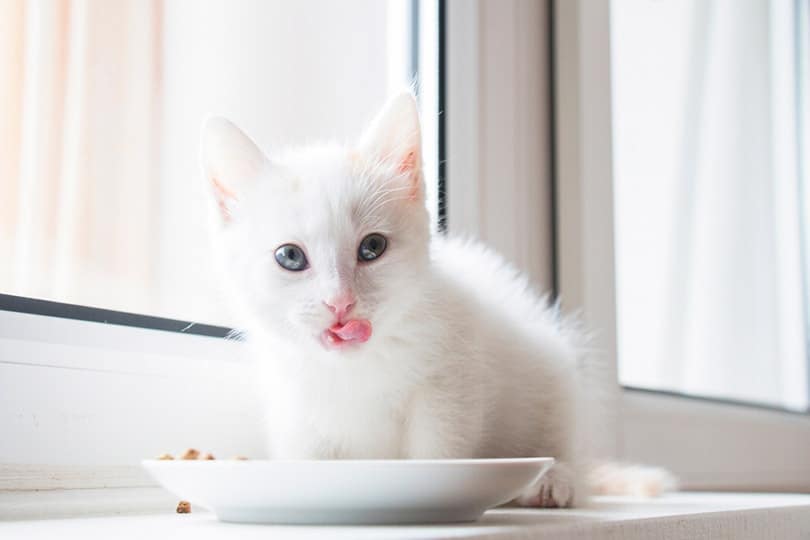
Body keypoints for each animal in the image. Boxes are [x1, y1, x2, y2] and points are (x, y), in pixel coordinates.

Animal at [200, 90, 664, 508]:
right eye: (290, 257)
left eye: (372, 247)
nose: (340, 303)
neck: (356, 366)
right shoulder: (296, 407)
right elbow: (308, 456)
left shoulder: (450, 381)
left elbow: (439, 450)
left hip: (553, 374)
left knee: (561, 437)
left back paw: (554, 478)